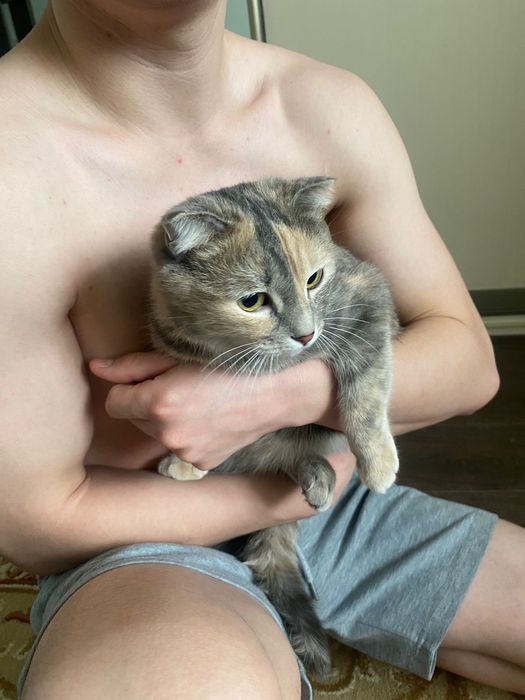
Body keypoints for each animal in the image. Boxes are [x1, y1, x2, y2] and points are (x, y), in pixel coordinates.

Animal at [148, 176, 399, 677]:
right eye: (252, 301)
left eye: (314, 279)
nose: (305, 335)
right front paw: (188, 463)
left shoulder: (368, 298)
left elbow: (365, 390)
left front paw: (378, 463)